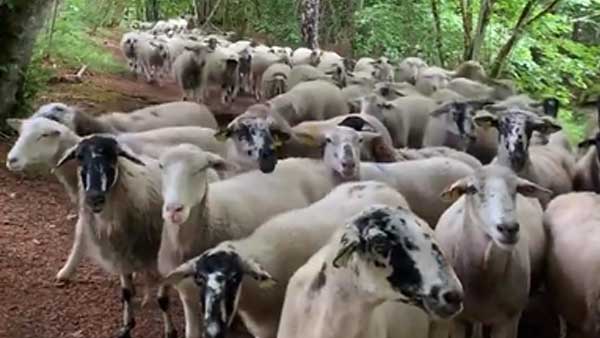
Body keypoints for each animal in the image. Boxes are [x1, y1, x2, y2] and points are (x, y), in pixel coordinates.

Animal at [52, 136, 175, 338]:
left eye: (113, 156)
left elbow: (163, 300)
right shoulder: (121, 253)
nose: (94, 198)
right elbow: (126, 292)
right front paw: (127, 326)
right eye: (79, 157)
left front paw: (170, 332)